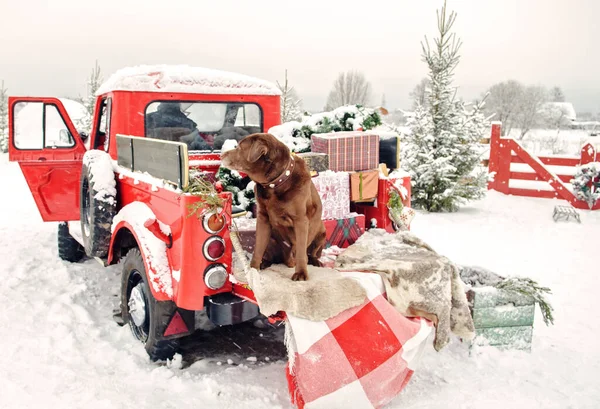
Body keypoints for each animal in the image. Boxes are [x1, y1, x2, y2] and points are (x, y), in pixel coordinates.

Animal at [220, 134, 326, 280]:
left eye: (240, 147)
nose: (221, 155)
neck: (275, 184)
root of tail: (286, 260)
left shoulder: (300, 220)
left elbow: (301, 250)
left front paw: (301, 273)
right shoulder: (263, 218)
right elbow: (258, 249)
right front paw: (253, 271)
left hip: (321, 232)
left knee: (310, 253)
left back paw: (316, 262)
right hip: (271, 239)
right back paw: (265, 263)